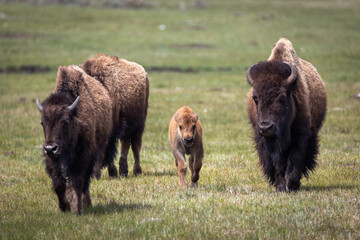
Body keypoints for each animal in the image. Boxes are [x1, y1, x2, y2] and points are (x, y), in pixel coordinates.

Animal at [36, 65, 112, 214]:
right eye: (42, 123)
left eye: (65, 121)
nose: (50, 148)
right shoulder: (52, 160)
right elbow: (59, 184)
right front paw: (64, 207)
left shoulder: (83, 158)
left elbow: (77, 181)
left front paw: (76, 209)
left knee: (85, 184)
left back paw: (86, 203)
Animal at [248, 38, 326, 192]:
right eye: (255, 97)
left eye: (283, 95)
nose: (266, 127)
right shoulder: (268, 141)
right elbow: (278, 163)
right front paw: (280, 187)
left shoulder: (302, 135)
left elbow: (297, 158)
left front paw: (292, 184)